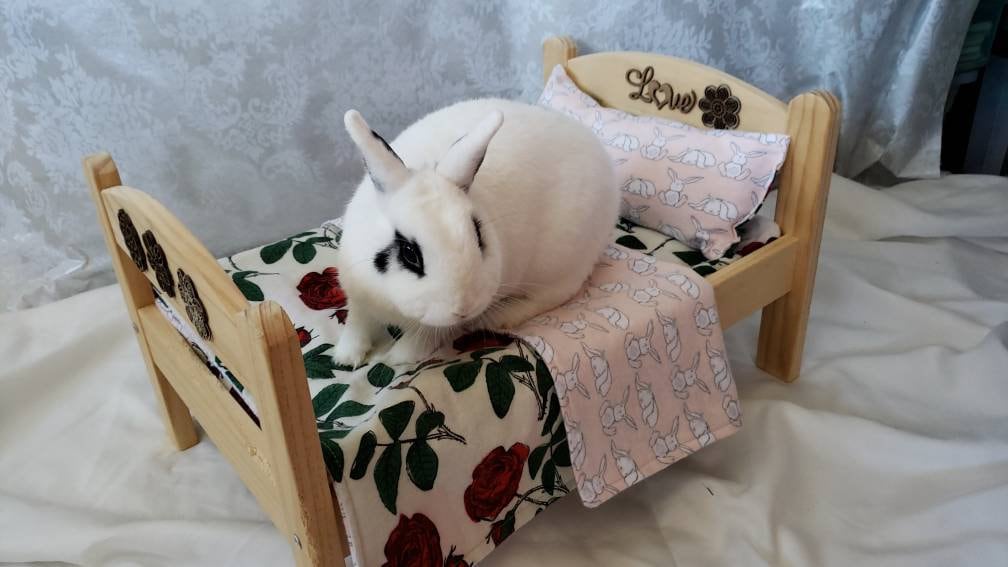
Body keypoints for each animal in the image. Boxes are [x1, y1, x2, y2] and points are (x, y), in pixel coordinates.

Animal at [334, 99, 619, 365]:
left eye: (478, 235)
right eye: (408, 253)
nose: (463, 309)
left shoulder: (433, 328)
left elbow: (417, 343)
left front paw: (391, 360)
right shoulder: (358, 298)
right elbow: (356, 323)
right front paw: (345, 357)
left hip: (559, 265)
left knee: (549, 296)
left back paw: (497, 318)